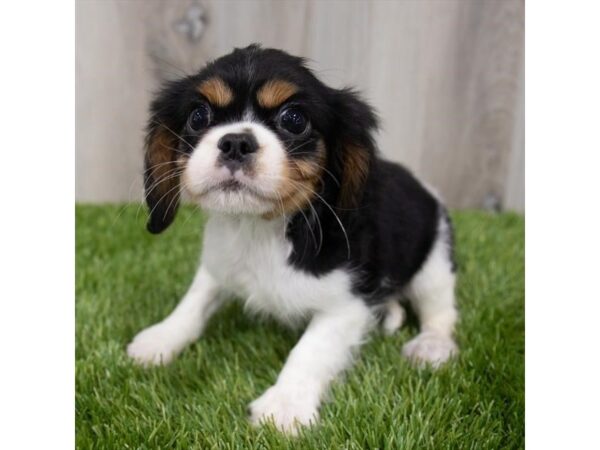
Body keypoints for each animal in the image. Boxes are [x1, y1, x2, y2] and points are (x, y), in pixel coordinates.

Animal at [127, 44, 460, 432]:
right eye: (198, 116)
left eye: (294, 120)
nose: (236, 142)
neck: (261, 229)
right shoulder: (219, 263)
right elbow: (194, 301)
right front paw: (161, 339)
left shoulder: (346, 305)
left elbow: (310, 350)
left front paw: (284, 407)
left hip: (434, 260)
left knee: (440, 311)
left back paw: (431, 346)